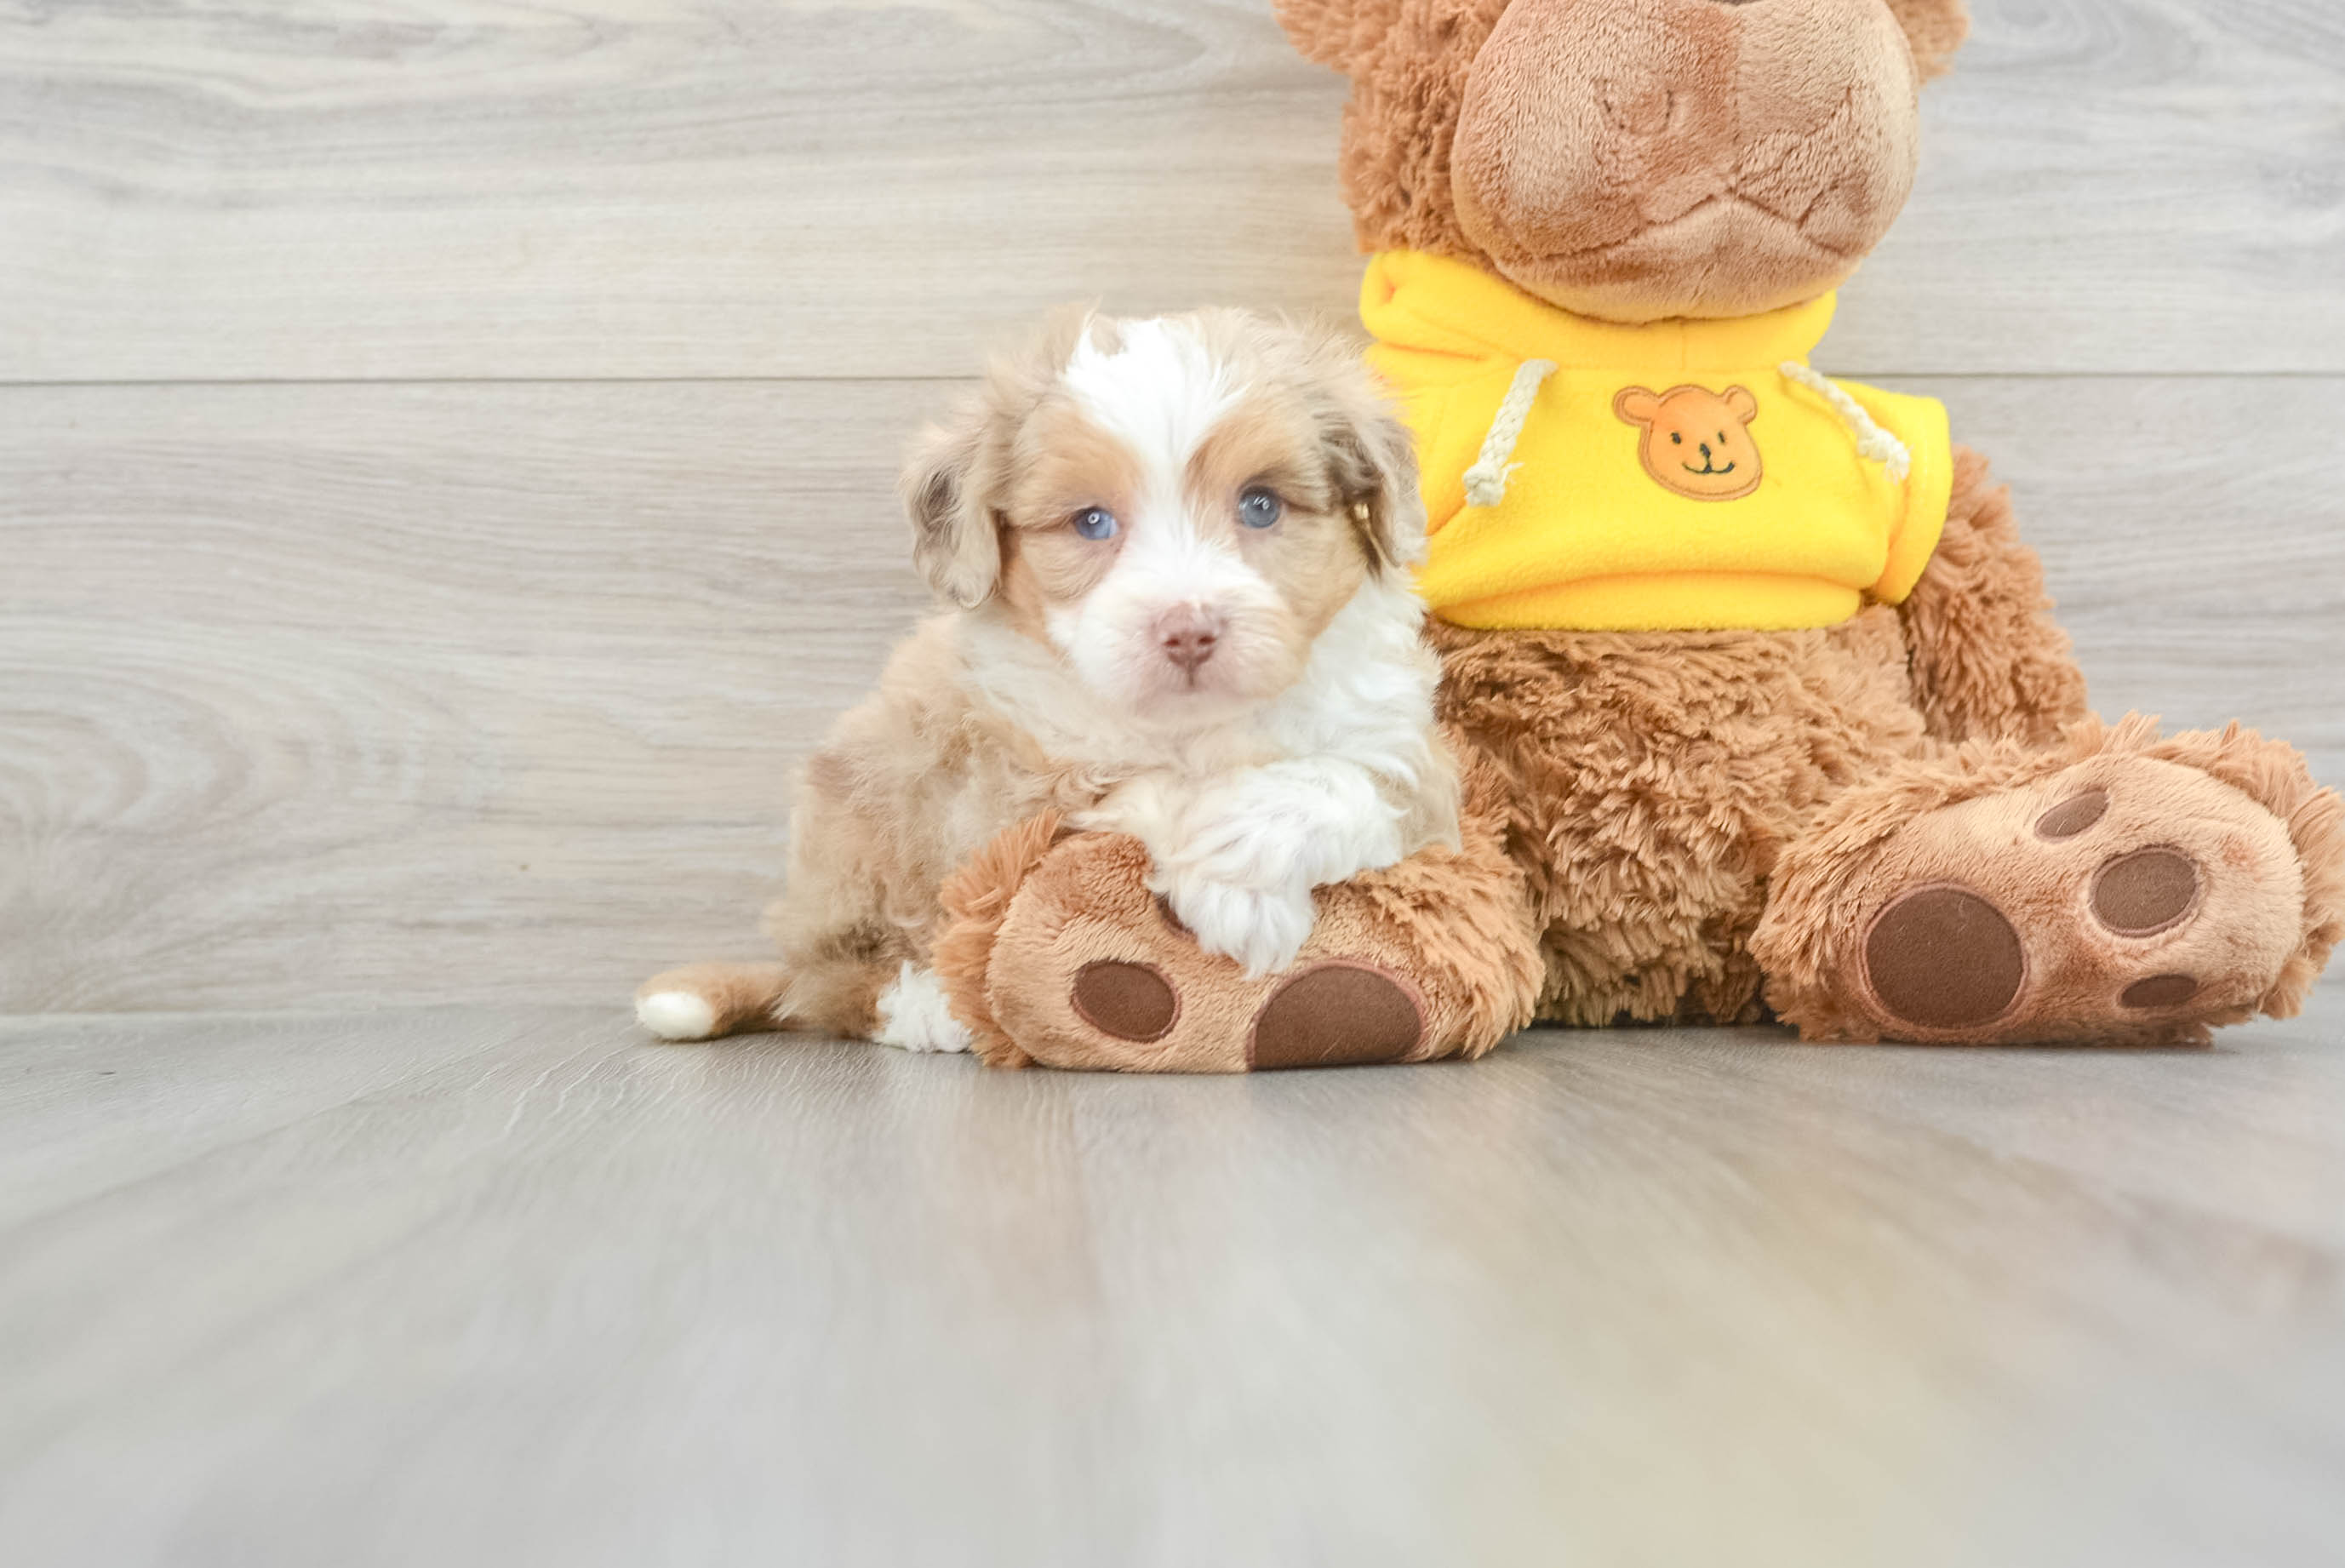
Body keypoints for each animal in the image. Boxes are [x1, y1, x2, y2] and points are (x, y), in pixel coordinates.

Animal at [632, 309, 1454, 1050]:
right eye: (1091, 522)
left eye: (1260, 505)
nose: (1188, 629)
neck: (1192, 726)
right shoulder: (1005, 793)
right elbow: (1131, 788)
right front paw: (1237, 894)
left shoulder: (1415, 765)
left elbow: (1353, 780)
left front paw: (1242, 863)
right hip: (853, 846)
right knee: (833, 981)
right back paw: (930, 1011)